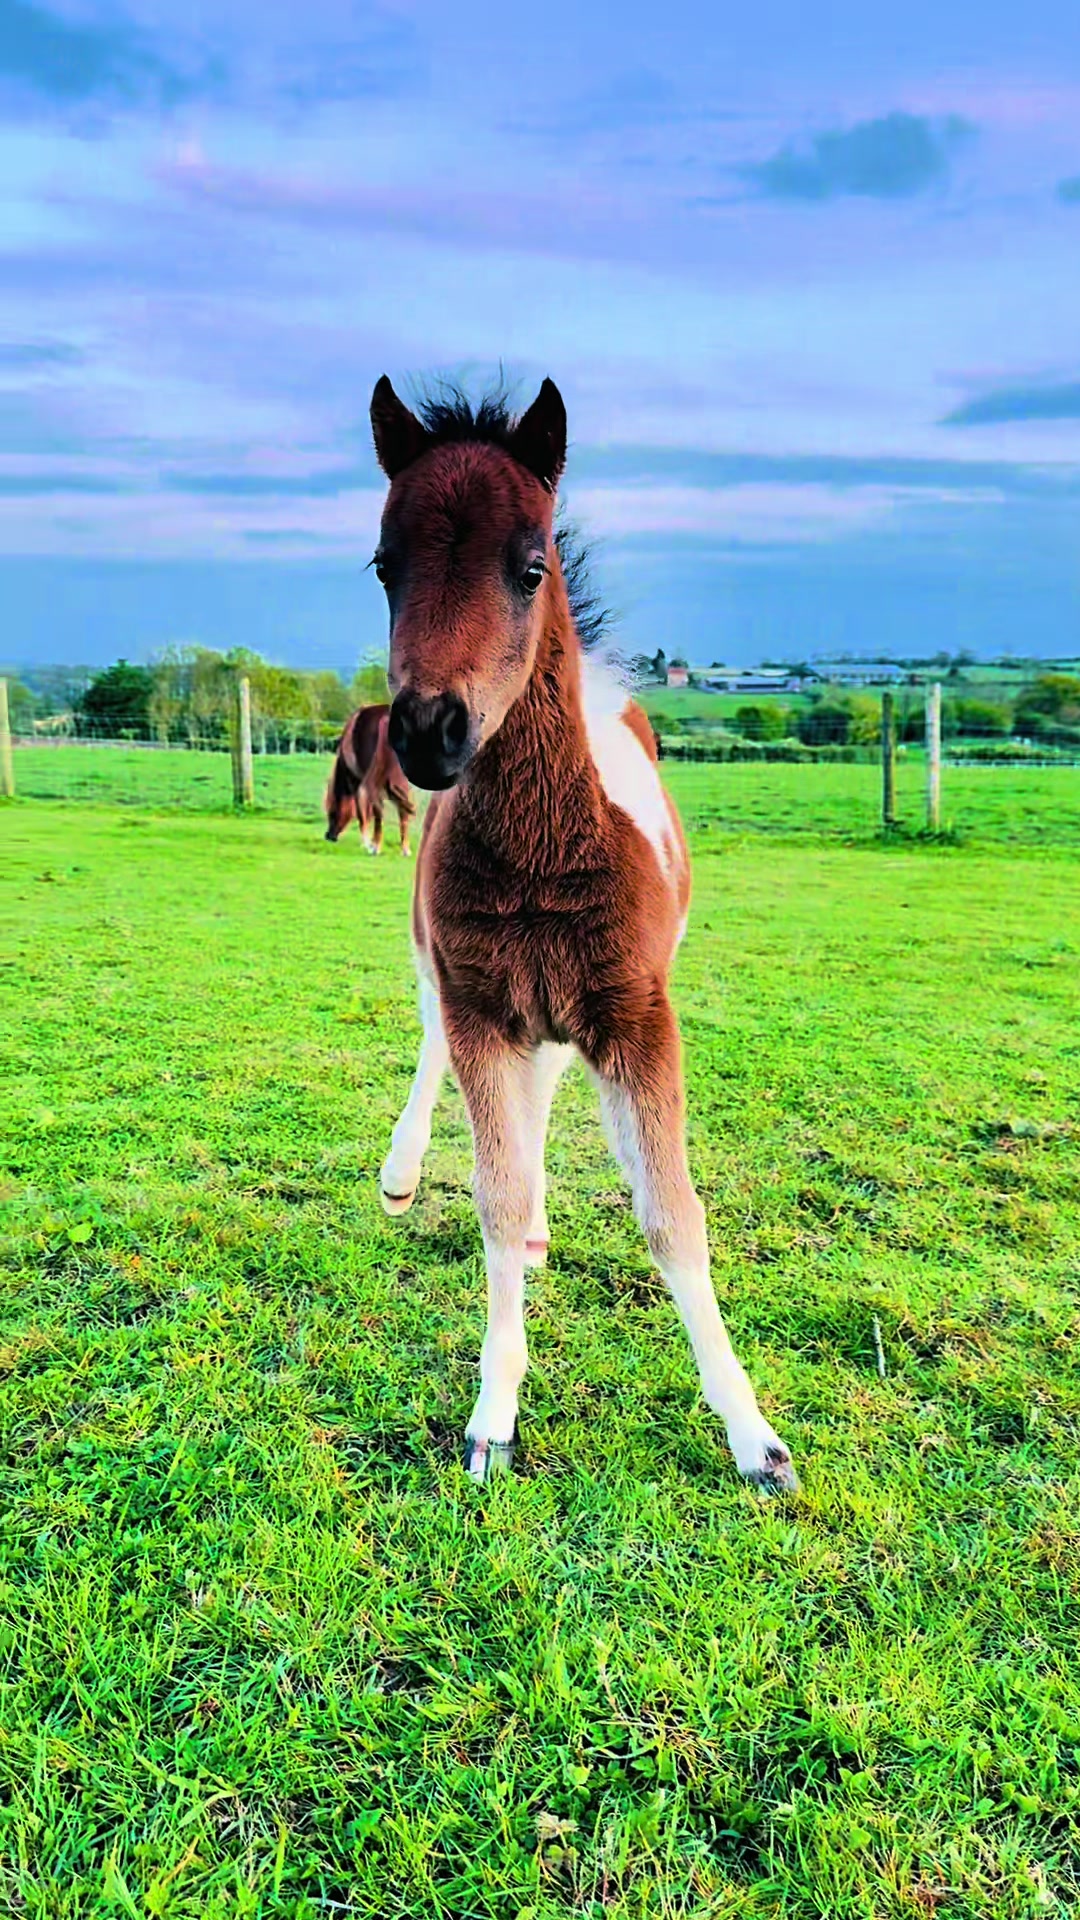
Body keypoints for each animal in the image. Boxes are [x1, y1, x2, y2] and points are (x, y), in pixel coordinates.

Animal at [324, 704, 415, 855]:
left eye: (332, 812)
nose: (329, 836)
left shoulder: (356, 782)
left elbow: (362, 812)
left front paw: (365, 843)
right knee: (403, 810)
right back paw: (405, 849)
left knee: (379, 809)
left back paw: (375, 847)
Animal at [369, 375, 797, 1493]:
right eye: (385, 567)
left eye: (530, 567)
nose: (429, 732)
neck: (543, 854)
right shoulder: (481, 1006)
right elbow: (495, 1193)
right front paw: (492, 1419)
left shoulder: (637, 1016)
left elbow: (673, 1214)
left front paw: (755, 1440)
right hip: (451, 971)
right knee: (441, 1053)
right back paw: (406, 1173)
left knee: (548, 1088)